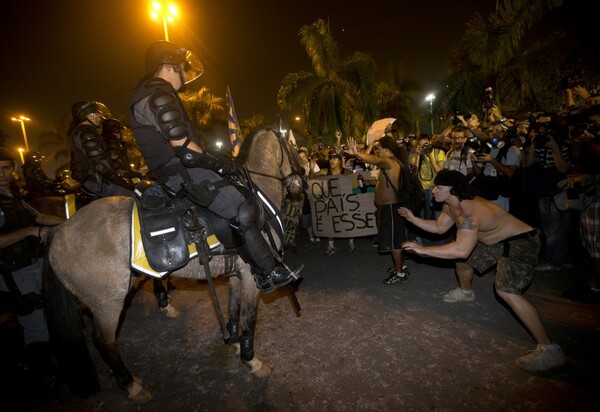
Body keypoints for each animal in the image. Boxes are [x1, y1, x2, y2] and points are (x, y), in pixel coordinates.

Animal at [42, 130, 304, 404]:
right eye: (294, 148)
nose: (300, 182)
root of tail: (58, 231)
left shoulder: (236, 274)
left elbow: (233, 311)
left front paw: (234, 345)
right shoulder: (252, 277)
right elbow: (248, 318)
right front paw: (252, 362)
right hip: (108, 302)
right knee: (104, 342)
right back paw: (131, 385)